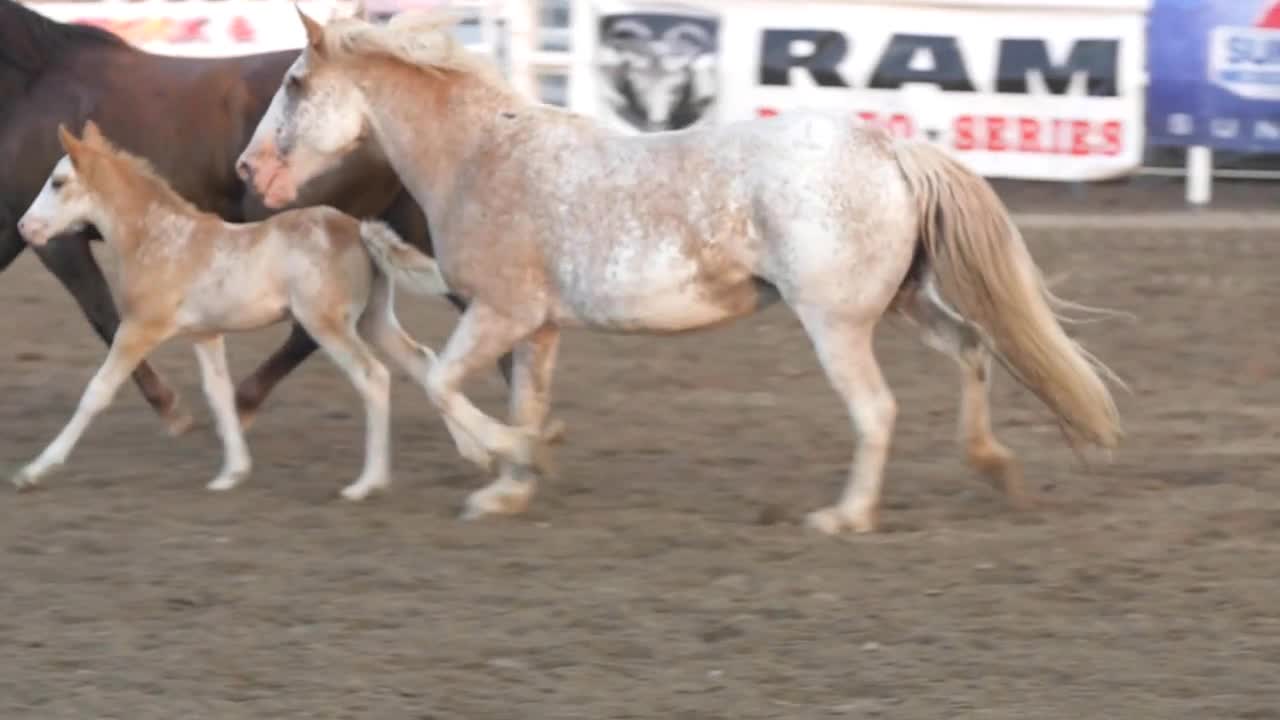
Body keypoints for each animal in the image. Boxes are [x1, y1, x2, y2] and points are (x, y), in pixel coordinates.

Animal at [1, 1, 509, 430]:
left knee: (311, 328)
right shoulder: (13, 226)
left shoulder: (56, 238)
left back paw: (244, 400)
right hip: (411, 226)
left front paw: (171, 409)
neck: (29, 84)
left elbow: (104, 315)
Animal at [235, 8, 1126, 530]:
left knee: (877, 410)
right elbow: (520, 395)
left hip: (838, 325)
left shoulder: (498, 313)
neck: (485, 155)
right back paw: (994, 468)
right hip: (903, 305)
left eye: (296, 82)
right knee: (975, 349)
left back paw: (846, 515)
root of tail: (888, 147)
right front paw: (512, 483)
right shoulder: (539, 328)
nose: (250, 171)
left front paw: (519, 454)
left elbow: (447, 386)